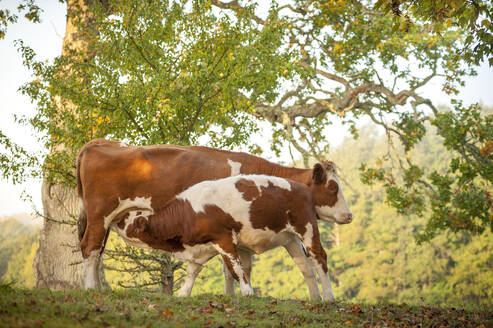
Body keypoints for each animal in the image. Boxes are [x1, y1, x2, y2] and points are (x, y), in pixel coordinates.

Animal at [78, 138, 354, 300]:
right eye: (332, 187)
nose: (349, 215)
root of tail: (98, 142)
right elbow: (232, 267)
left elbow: (240, 267)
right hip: (100, 216)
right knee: (90, 248)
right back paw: (90, 288)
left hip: (103, 220)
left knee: (95, 251)